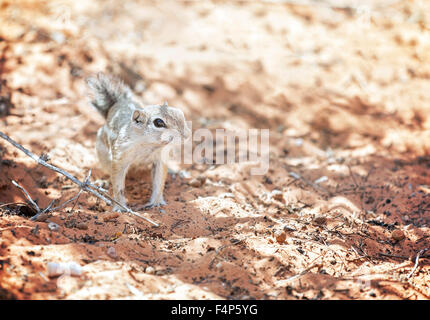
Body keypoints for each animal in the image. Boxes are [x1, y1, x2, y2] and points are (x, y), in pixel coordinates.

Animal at [85, 73, 190, 211]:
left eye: (181, 113)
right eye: (159, 122)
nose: (187, 135)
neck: (149, 145)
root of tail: (117, 104)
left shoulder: (160, 159)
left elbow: (159, 181)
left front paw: (156, 202)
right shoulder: (120, 156)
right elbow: (118, 184)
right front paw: (120, 207)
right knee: (107, 171)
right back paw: (103, 181)